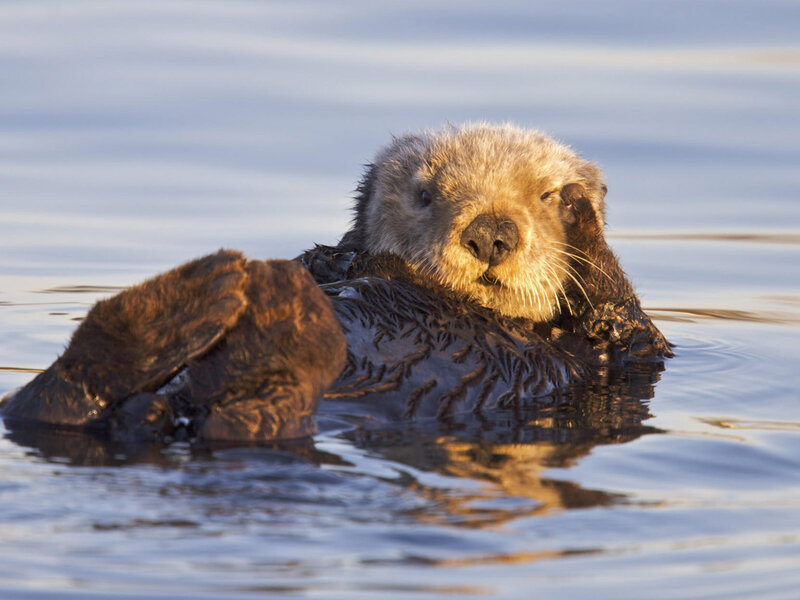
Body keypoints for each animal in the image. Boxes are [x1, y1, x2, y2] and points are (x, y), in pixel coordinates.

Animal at [1, 123, 671, 442]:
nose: (491, 233)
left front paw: (582, 211)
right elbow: (327, 260)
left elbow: (626, 320)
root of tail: (164, 412)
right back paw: (213, 295)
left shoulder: (622, 358)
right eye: (426, 195)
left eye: (543, 196)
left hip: (264, 410)